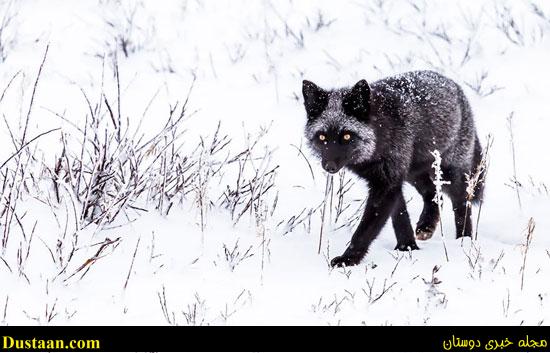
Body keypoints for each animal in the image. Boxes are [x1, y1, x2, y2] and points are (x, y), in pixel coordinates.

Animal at [304, 69, 486, 266]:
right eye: (322, 137)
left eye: (346, 136)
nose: (329, 166)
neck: (379, 136)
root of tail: (456, 87)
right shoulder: (390, 180)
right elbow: (400, 216)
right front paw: (407, 248)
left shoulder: (386, 184)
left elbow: (365, 230)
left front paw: (348, 259)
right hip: (414, 173)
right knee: (434, 194)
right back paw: (427, 225)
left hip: (448, 172)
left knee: (462, 200)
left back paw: (464, 240)